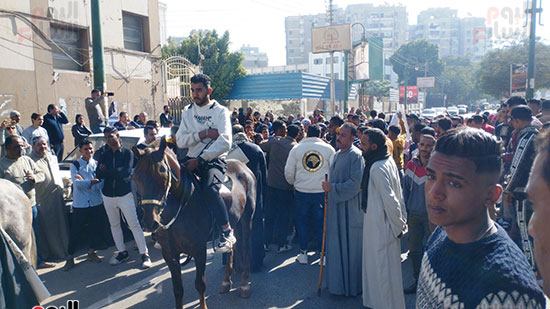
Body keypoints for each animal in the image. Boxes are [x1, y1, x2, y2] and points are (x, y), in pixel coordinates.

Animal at [134, 140, 256, 308]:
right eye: (136, 177)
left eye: (162, 172)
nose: (149, 222)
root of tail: (241, 165)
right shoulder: (169, 253)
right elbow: (178, 289)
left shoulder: (199, 250)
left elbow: (200, 284)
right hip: (235, 221)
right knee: (232, 247)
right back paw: (226, 281)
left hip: (247, 218)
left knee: (244, 247)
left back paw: (244, 285)